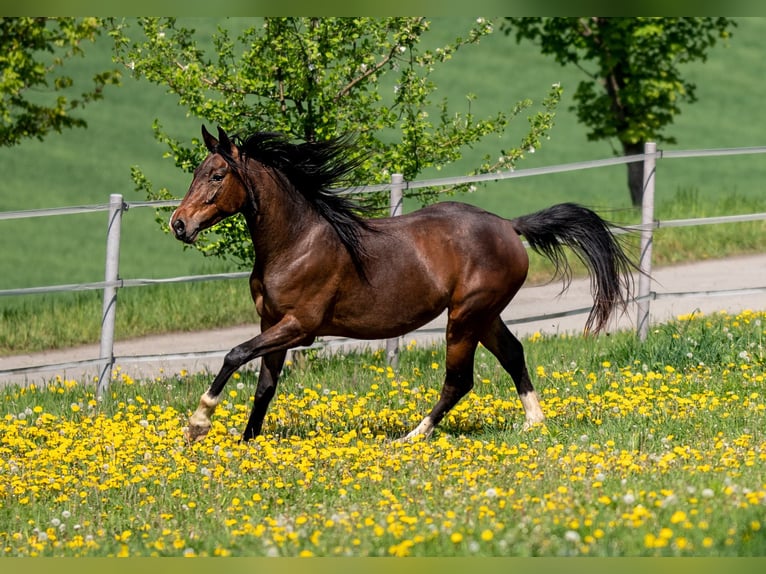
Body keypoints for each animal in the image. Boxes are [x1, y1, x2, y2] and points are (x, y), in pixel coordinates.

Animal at [170, 124, 636, 444]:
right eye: (196, 173)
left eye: (216, 176)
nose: (178, 224)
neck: (296, 242)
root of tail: (509, 226)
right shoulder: (272, 323)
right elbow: (265, 386)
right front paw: (247, 442)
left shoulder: (299, 326)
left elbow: (234, 355)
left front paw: (197, 425)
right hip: (484, 316)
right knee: (513, 355)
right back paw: (533, 422)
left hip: (464, 317)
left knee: (459, 380)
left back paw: (411, 436)